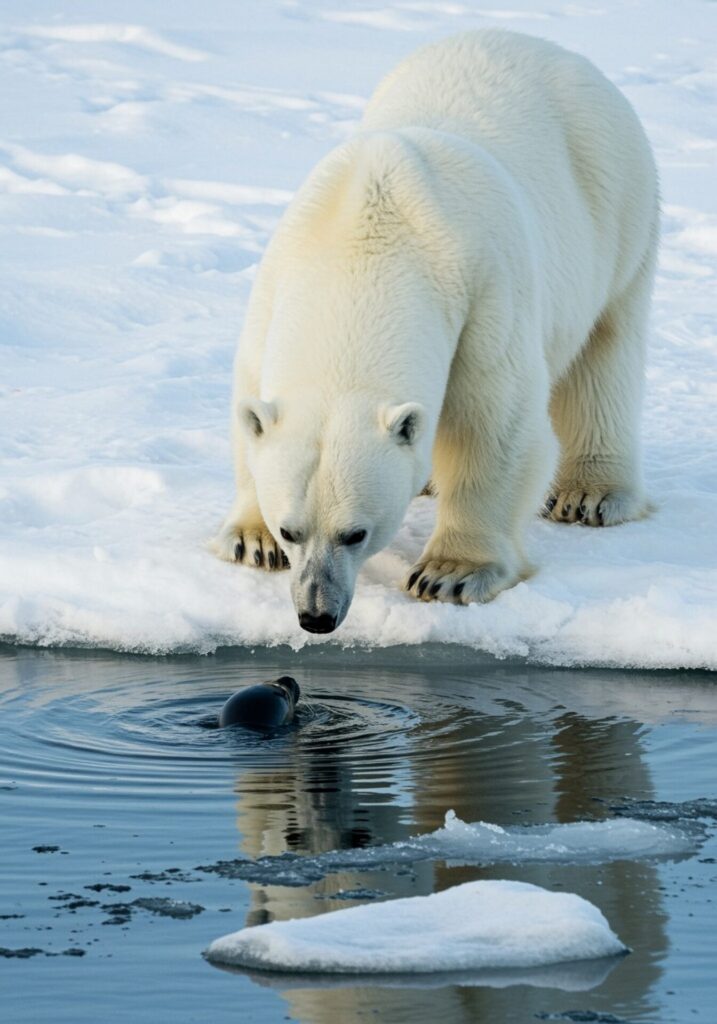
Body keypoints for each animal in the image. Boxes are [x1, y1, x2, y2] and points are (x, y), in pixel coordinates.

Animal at [211, 29, 658, 634]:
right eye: (291, 530)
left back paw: (589, 494)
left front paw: (450, 573)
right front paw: (249, 539)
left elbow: (494, 425)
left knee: (606, 349)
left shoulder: (482, 292)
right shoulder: (274, 289)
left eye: (356, 533)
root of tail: (548, 47)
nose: (316, 615)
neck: (366, 235)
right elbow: (251, 410)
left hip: (618, 205)